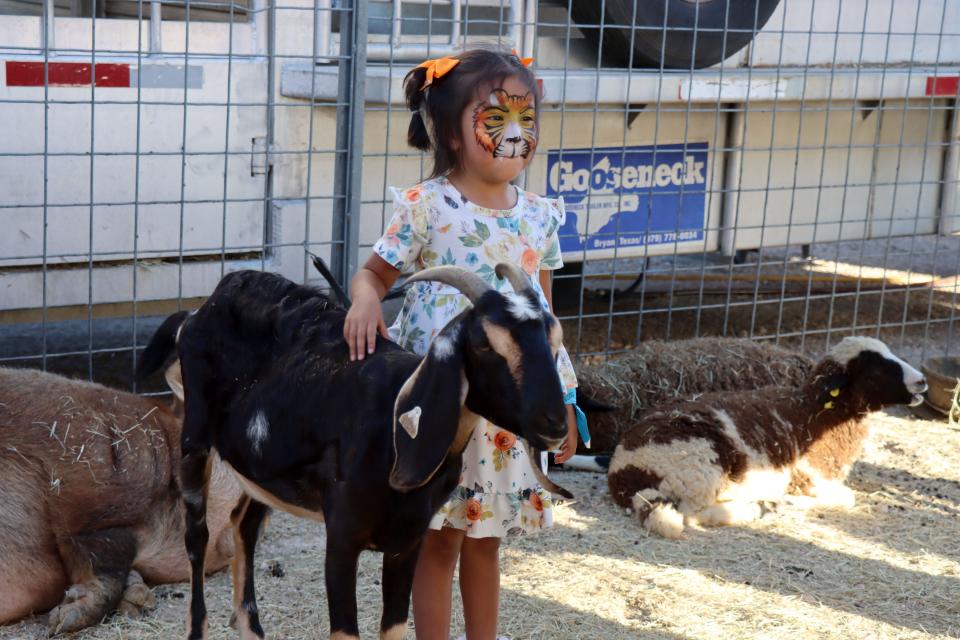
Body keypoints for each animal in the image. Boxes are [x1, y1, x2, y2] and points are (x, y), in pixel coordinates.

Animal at [137, 262, 568, 640]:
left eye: (553, 339)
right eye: (483, 343)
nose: (557, 423)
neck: (392, 428)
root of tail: (200, 310)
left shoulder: (407, 543)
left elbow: (393, 629)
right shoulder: (342, 537)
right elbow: (346, 632)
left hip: (260, 470)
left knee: (244, 527)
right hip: (195, 439)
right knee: (198, 537)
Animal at [608, 336, 928, 540]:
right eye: (874, 372)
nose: (922, 381)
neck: (817, 413)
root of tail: (624, 470)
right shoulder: (808, 478)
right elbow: (846, 498)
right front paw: (787, 503)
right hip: (701, 464)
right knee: (690, 513)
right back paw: (754, 508)